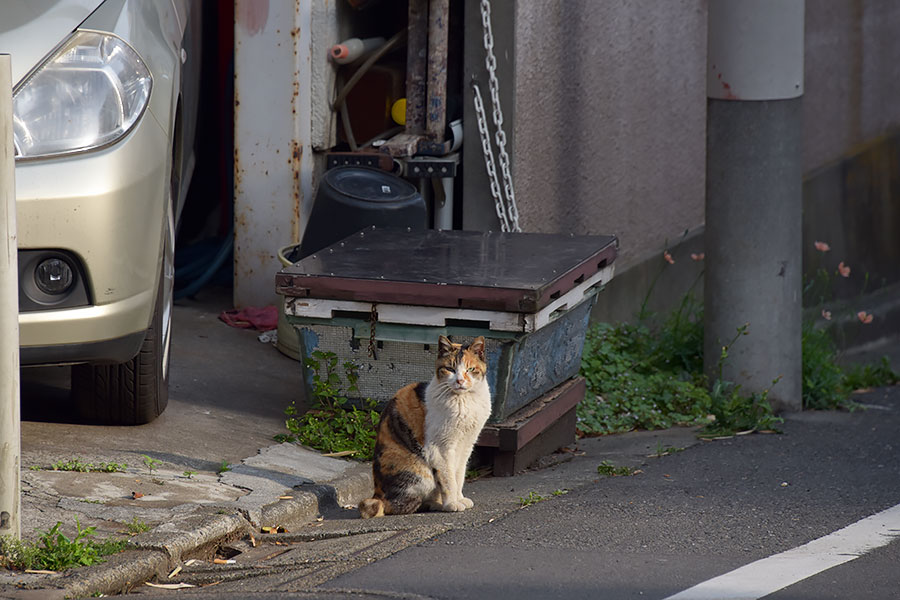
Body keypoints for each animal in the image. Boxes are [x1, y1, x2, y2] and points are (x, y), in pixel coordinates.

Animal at [356, 336, 488, 516]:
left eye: (470, 369)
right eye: (450, 369)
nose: (460, 380)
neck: (464, 401)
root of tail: (377, 495)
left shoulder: (466, 444)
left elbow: (459, 475)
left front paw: (460, 499)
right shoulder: (441, 448)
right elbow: (448, 479)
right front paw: (453, 503)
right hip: (421, 473)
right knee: (402, 506)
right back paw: (439, 504)